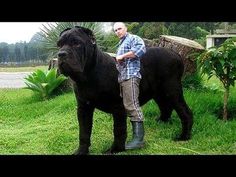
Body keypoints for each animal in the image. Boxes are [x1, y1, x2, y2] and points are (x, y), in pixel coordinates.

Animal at [57, 26, 194, 155]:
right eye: (59, 45)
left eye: (77, 43)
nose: (61, 54)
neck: (88, 75)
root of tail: (176, 54)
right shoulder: (83, 108)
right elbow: (84, 132)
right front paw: (81, 151)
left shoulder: (118, 107)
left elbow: (119, 130)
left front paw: (115, 149)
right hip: (159, 93)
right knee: (165, 107)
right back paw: (161, 121)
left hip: (172, 91)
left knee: (185, 112)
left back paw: (184, 136)